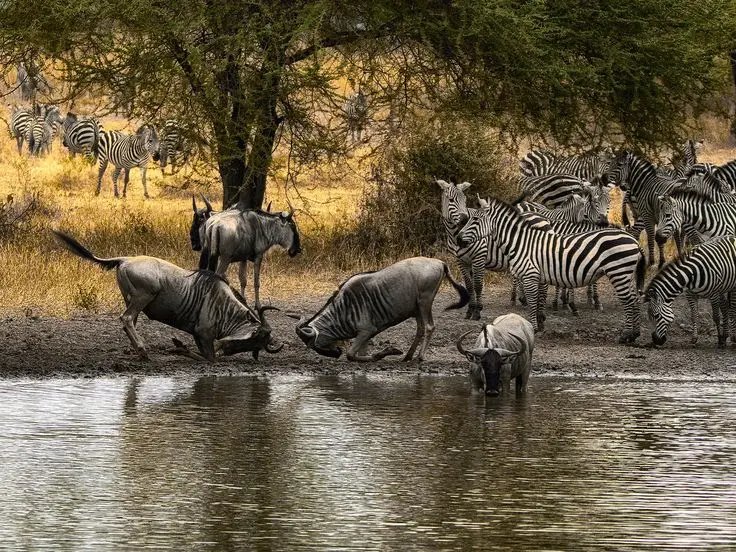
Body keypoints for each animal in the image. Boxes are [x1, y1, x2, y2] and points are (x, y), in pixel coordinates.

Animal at [456, 197, 645, 343]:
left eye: (475, 220)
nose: (458, 239)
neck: (521, 242)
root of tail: (634, 241)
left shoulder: (530, 275)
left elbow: (533, 302)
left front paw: (533, 327)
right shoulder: (538, 277)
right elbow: (539, 300)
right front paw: (540, 324)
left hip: (618, 272)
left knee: (629, 301)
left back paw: (626, 335)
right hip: (626, 274)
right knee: (635, 300)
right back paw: (634, 335)